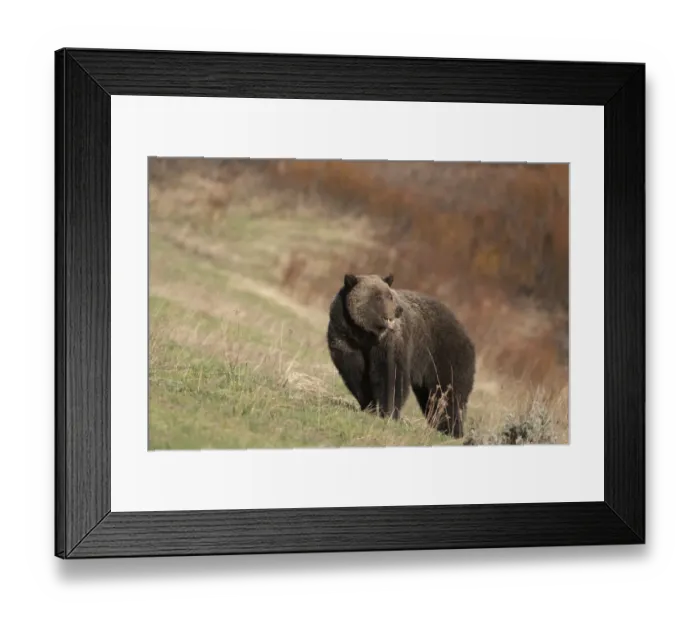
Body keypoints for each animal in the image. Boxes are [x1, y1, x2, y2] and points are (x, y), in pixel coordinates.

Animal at [326, 273, 476, 439]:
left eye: (390, 295)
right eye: (378, 297)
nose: (398, 310)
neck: (364, 333)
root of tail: (466, 333)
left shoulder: (389, 343)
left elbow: (391, 377)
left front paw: (388, 412)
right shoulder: (345, 338)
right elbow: (356, 375)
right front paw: (369, 405)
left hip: (444, 356)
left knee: (448, 394)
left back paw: (452, 430)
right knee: (431, 399)